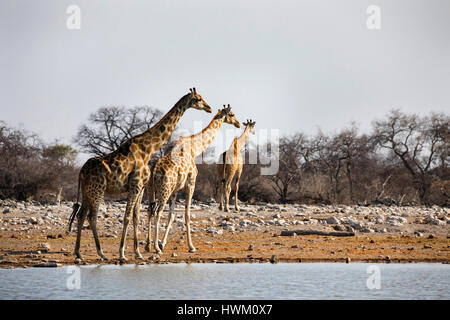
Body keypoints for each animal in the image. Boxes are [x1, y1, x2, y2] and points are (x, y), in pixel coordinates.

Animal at [68, 87, 213, 260]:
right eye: (198, 99)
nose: (209, 108)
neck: (147, 150)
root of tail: (81, 172)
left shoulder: (141, 187)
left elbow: (136, 217)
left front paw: (138, 252)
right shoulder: (135, 185)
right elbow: (127, 217)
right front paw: (122, 253)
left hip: (86, 191)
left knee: (81, 214)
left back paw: (78, 253)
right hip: (98, 190)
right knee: (92, 217)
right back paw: (101, 253)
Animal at [146, 104, 241, 252]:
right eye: (231, 114)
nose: (238, 123)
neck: (194, 149)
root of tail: (154, 169)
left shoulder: (175, 190)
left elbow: (172, 215)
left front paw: (163, 242)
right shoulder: (191, 183)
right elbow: (187, 214)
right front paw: (191, 246)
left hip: (152, 189)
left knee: (150, 210)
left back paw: (147, 245)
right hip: (164, 189)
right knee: (157, 212)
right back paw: (156, 248)